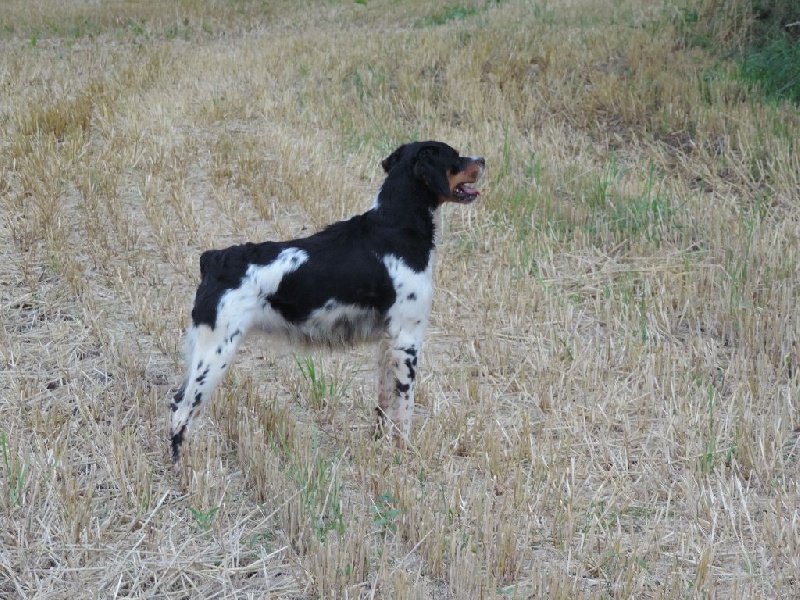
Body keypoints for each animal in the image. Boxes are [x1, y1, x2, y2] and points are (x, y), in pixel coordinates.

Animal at [170, 141, 485, 463]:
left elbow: (385, 404)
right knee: (182, 410)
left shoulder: (388, 344)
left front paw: (381, 448)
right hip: (214, 354)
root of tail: (214, 259)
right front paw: (405, 454)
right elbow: (404, 409)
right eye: (454, 157)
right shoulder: (407, 338)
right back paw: (184, 467)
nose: (483, 160)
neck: (396, 228)